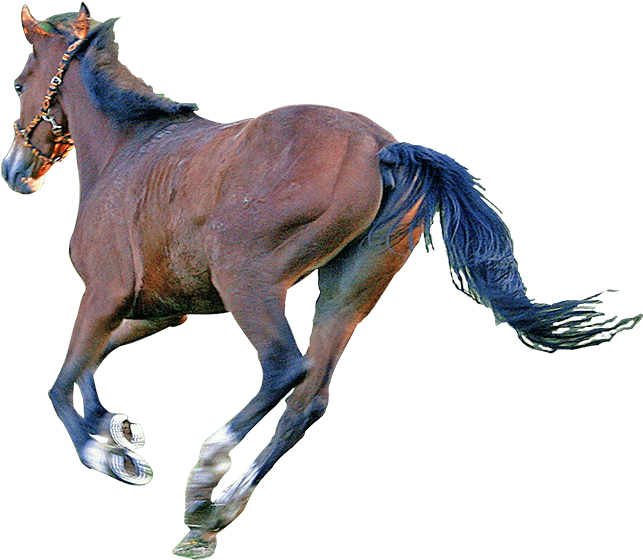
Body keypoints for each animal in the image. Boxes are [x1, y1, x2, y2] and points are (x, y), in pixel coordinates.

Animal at [3, 5, 641, 558]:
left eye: (18, 83)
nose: (15, 171)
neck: (128, 150)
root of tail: (383, 148)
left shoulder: (104, 295)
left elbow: (62, 380)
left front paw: (108, 452)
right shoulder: (161, 309)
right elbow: (89, 364)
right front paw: (116, 428)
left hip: (249, 280)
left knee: (285, 368)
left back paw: (206, 476)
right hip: (347, 289)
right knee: (309, 399)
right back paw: (213, 516)